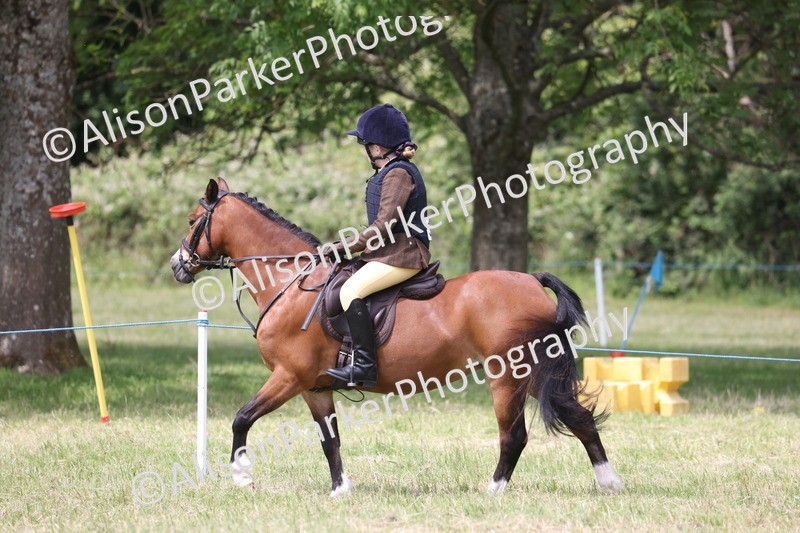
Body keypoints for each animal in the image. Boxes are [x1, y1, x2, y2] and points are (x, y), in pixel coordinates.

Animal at [170, 178, 623, 496]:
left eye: (193, 221)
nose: (177, 265)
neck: (291, 281)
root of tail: (533, 280)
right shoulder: (314, 387)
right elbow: (330, 440)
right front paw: (340, 491)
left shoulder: (288, 377)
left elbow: (242, 418)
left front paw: (242, 478)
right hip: (532, 374)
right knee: (580, 419)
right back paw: (609, 483)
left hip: (508, 376)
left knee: (514, 436)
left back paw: (493, 491)